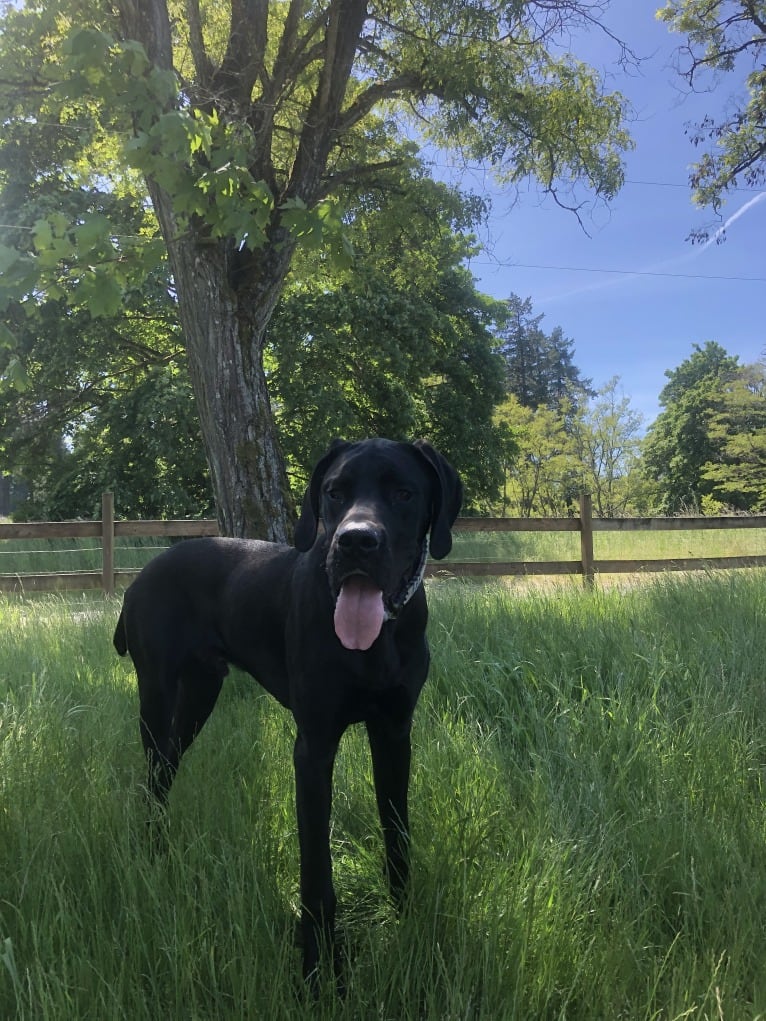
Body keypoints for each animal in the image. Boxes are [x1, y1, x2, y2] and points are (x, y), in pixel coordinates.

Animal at [113, 436, 461, 980]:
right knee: (152, 774)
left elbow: (397, 832)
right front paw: (319, 966)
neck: (374, 640)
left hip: (199, 695)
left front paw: (406, 917)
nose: (356, 542)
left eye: (404, 493)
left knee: (166, 767)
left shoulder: (394, 733)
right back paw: (151, 850)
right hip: (156, 692)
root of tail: (141, 574)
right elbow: (316, 866)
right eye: (335, 492)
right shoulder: (314, 747)